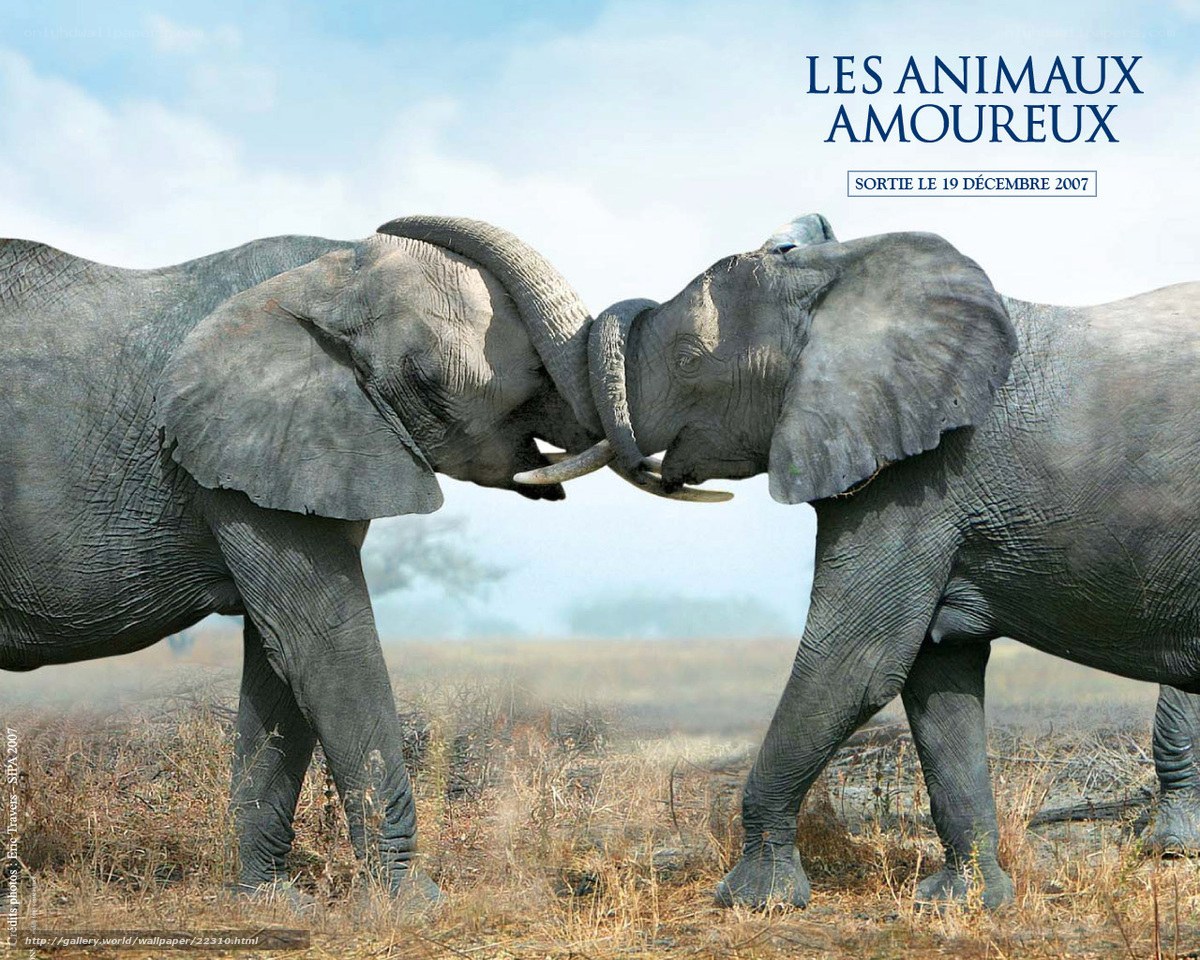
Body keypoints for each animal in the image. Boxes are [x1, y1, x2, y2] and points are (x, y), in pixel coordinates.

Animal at [0, 215, 710, 905]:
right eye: (430, 390)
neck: (328, 272)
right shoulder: (245, 458)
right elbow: (326, 645)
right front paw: (413, 906)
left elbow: (279, 662)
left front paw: (269, 904)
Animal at [524, 213, 1200, 909]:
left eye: (688, 360)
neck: (838, 280)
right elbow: (937, 673)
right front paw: (961, 903)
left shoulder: (919, 481)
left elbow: (857, 662)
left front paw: (754, 900)